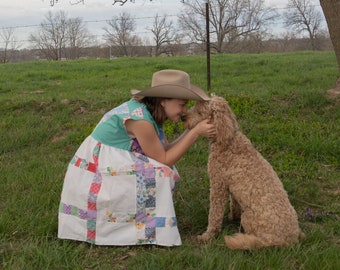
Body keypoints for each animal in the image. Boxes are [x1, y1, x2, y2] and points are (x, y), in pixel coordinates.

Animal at [186, 95, 306, 251]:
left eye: (200, 112)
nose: (183, 117)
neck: (228, 141)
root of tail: (290, 240)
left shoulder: (218, 185)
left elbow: (215, 215)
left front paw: (208, 235)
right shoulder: (232, 186)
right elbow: (234, 204)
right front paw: (232, 217)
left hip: (249, 219)